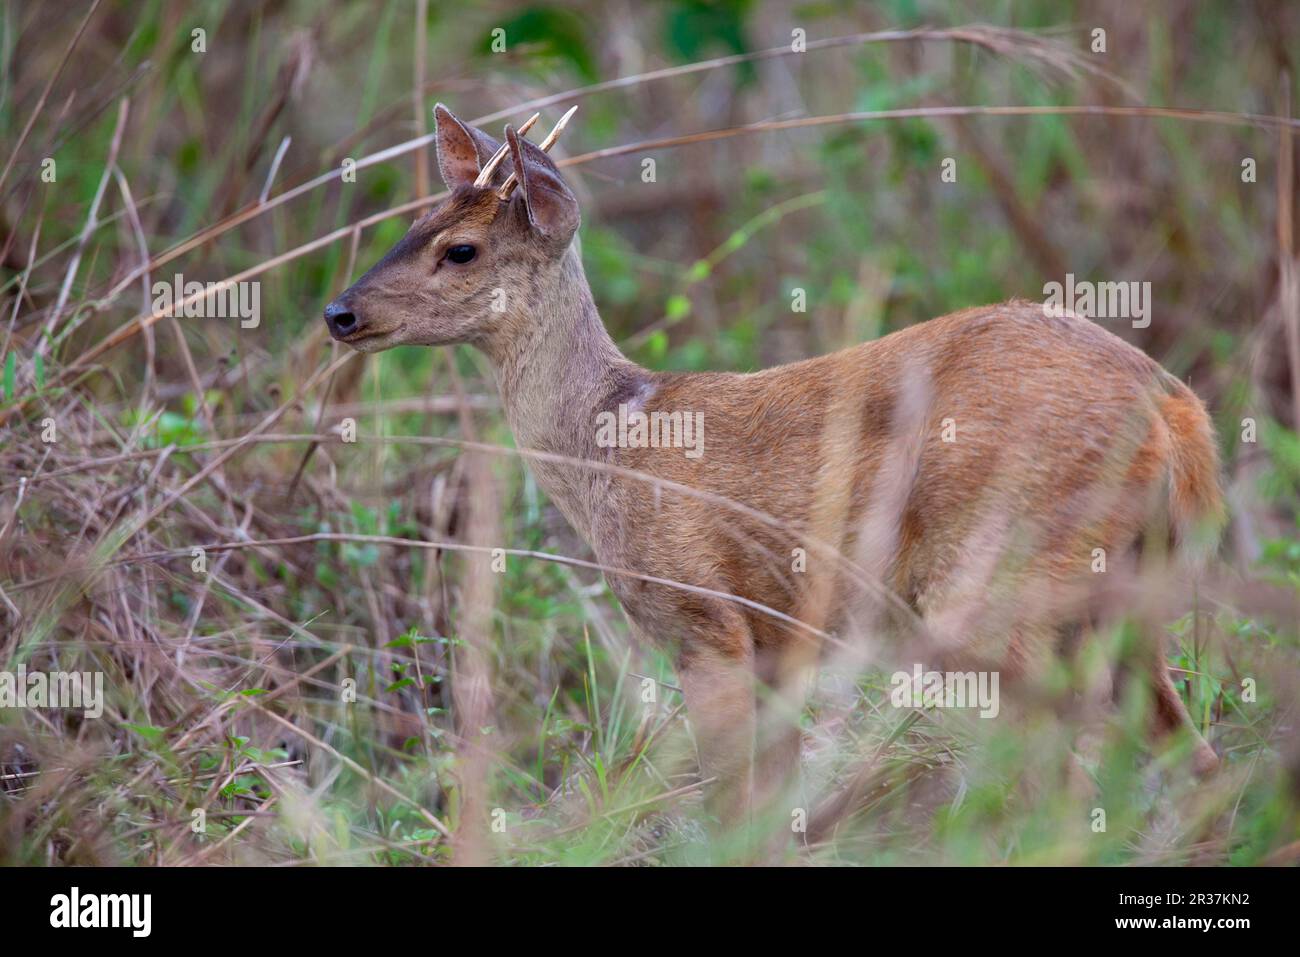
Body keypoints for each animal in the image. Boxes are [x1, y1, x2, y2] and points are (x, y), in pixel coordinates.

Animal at [323, 104, 1225, 841]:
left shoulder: (703, 618)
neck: (610, 438)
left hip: (998, 583)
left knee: (1061, 780)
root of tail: (1176, 411)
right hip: (1126, 595)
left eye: (460, 249)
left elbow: (731, 806)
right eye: (415, 220)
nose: (340, 311)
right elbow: (773, 808)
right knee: (1191, 760)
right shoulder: (781, 644)